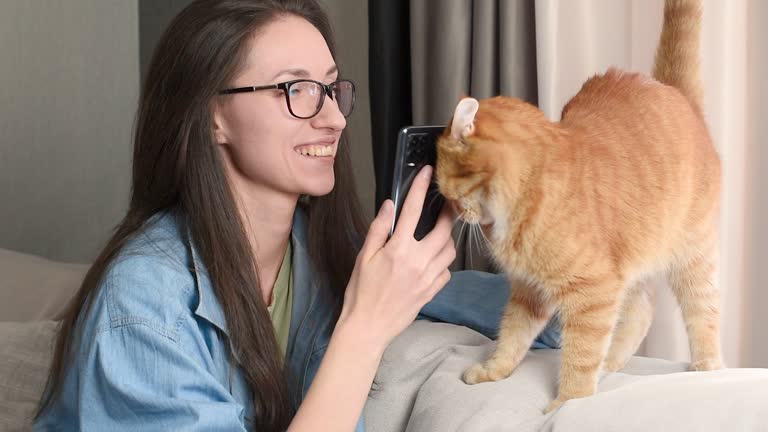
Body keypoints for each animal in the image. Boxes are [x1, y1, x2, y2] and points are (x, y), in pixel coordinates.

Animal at [438, 0, 720, 414]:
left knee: (704, 312)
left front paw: (569, 402)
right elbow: (512, 335)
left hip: (692, 256)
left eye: (444, 185)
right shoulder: (530, 291)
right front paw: (494, 370)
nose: (456, 212)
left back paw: (707, 366)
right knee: (642, 312)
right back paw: (612, 364)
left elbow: (580, 356)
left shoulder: (592, 294)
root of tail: (674, 92)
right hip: (634, 261)